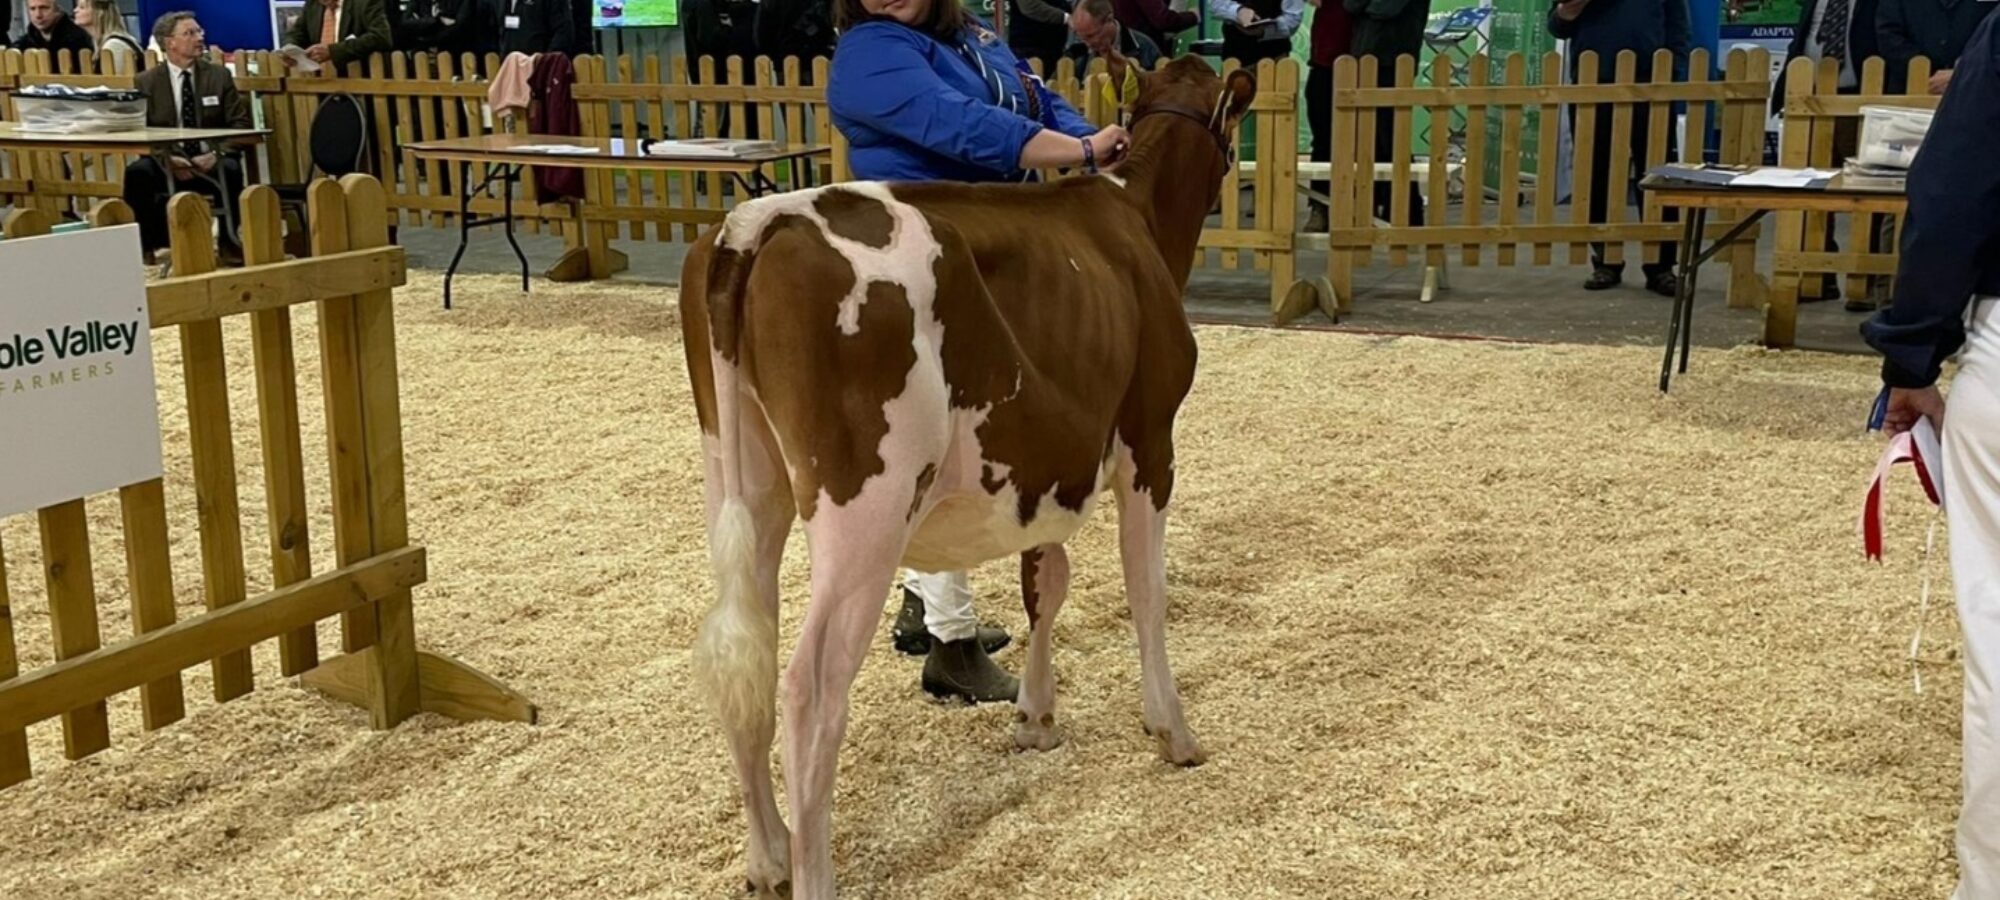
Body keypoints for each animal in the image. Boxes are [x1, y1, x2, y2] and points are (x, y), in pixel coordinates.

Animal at [679, 56, 1257, 899]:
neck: (1136, 216)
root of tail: (756, 222)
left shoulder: (1045, 464)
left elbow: (1046, 582)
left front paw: (1036, 717)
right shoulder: (1152, 440)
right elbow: (1146, 591)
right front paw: (1172, 729)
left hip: (745, 479)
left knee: (742, 655)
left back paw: (767, 855)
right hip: (867, 504)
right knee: (809, 687)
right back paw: (811, 868)